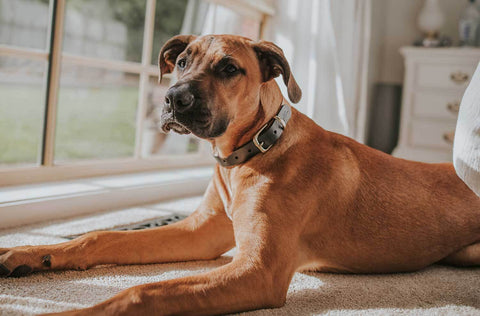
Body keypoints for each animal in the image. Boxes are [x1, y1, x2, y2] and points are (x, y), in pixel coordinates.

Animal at [0, 34, 480, 316]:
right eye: (181, 62)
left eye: (229, 68)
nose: (173, 100)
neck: (251, 154)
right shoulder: (201, 232)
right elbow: (102, 237)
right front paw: (32, 253)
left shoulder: (258, 271)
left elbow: (143, 292)